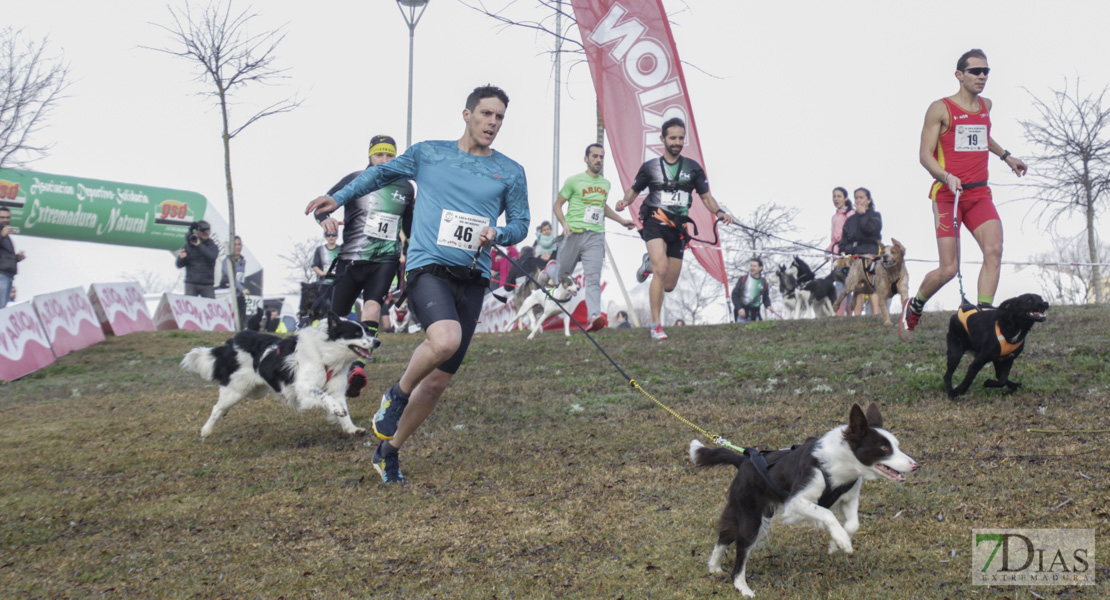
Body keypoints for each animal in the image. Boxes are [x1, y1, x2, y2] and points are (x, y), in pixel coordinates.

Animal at [182, 310, 381, 436]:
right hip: (236, 390)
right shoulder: (304, 388)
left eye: (368, 331)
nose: (377, 342)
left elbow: (342, 408)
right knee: (217, 408)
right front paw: (337, 411)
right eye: (356, 333)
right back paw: (206, 431)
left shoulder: (337, 389)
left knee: (222, 407)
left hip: (256, 391)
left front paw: (352, 429)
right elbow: (326, 398)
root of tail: (233, 341)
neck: (325, 353)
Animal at [692, 401, 919, 594]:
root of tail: (744, 460)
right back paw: (742, 587)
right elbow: (827, 513)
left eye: (896, 445)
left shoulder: (849, 498)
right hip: (751, 517)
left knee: (725, 534)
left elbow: (853, 524)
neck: (841, 465)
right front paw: (842, 541)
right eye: (883, 447)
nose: (915, 465)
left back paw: (714, 566)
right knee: (740, 551)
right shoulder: (796, 502)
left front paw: (836, 543)